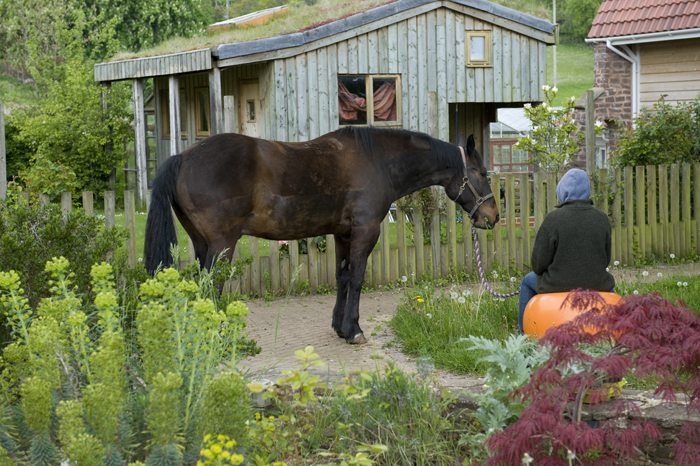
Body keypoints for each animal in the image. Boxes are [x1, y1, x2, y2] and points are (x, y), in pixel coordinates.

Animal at [144, 126, 499, 344]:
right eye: (482, 173)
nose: (493, 216)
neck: (378, 161)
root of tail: (182, 157)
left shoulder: (343, 234)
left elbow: (342, 277)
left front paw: (340, 328)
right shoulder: (366, 231)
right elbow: (357, 278)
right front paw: (354, 330)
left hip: (202, 244)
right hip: (222, 245)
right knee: (210, 285)